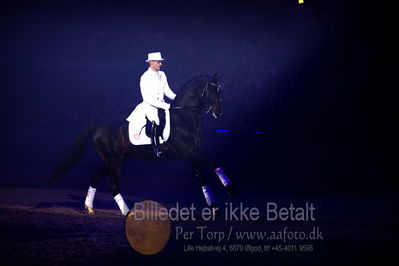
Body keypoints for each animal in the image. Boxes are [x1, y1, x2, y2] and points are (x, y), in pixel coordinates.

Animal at [50, 74, 238, 215]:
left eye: (219, 90)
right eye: (211, 90)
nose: (218, 112)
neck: (184, 119)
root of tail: (99, 127)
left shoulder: (192, 157)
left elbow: (203, 180)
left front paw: (213, 207)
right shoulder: (190, 154)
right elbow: (215, 163)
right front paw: (230, 188)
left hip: (113, 160)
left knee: (96, 177)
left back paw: (89, 208)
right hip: (114, 161)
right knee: (113, 186)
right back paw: (128, 213)